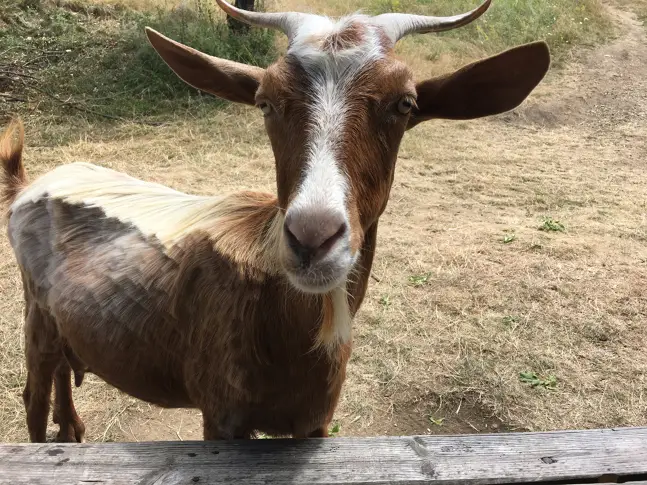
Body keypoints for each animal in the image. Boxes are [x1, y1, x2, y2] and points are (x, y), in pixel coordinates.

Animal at [0, 0, 548, 440]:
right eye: (265, 101)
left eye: (405, 103)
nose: (312, 238)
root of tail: (27, 186)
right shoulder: (221, 416)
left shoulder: (315, 422)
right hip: (35, 318)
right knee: (33, 397)